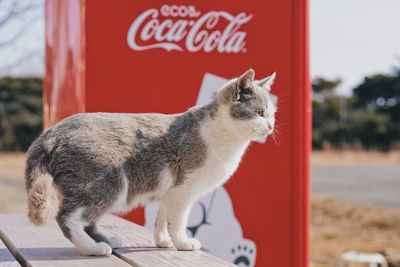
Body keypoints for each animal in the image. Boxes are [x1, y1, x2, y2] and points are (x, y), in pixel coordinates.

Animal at [24, 69, 276, 258]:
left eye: (273, 113)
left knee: (88, 220)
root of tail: (52, 132)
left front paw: (163, 241)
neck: (224, 136)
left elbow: (162, 217)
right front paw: (183, 242)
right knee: (67, 216)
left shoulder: (171, 191)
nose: (271, 126)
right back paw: (93, 248)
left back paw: (108, 240)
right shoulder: (185, 188)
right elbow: (179, 221)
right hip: (106, 183)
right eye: (259, 112)